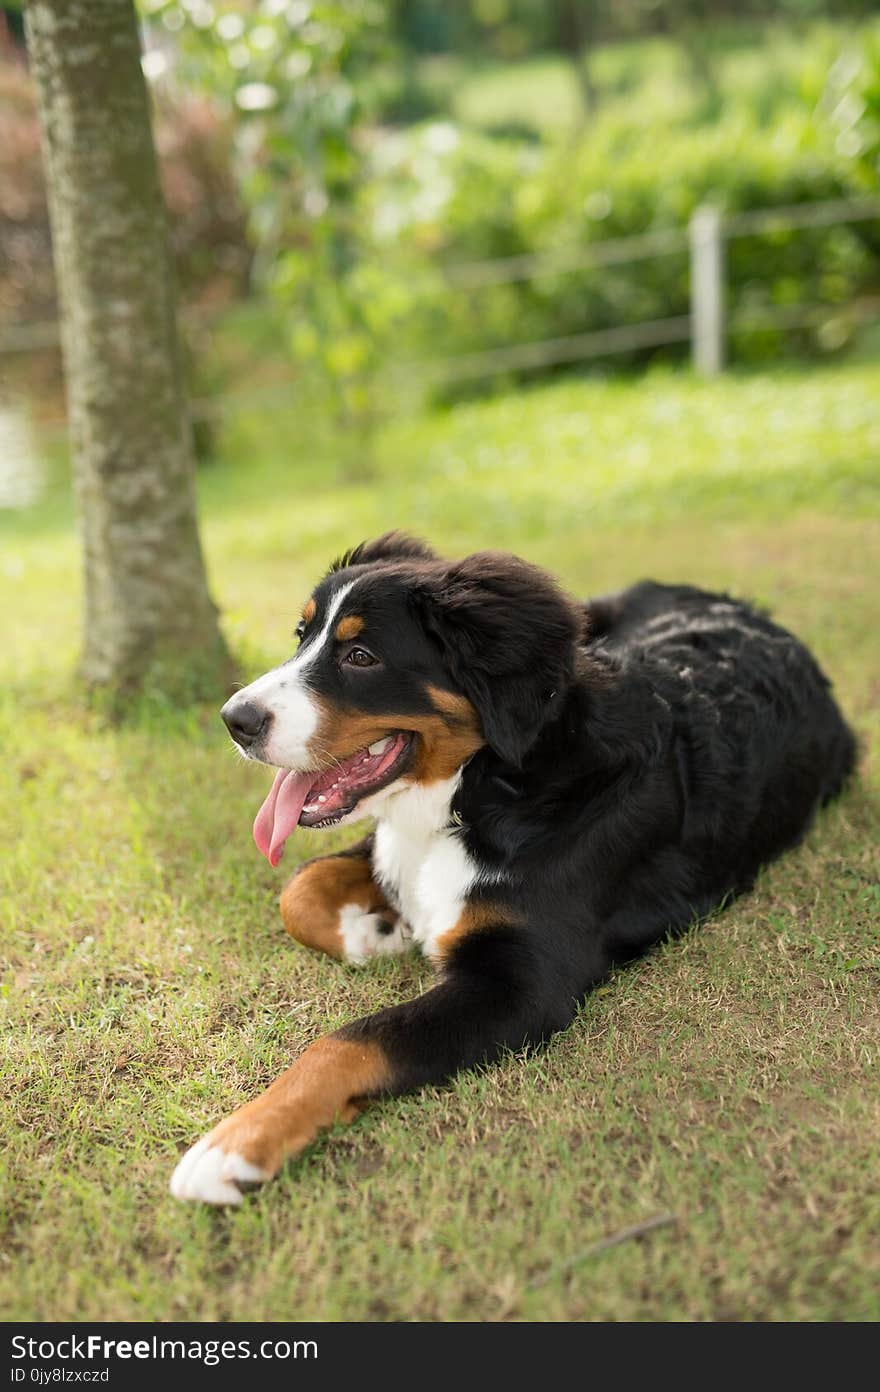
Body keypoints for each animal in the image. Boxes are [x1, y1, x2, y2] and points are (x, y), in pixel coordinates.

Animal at [168, 531, 857, 1208]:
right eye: (302, 635)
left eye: (360, 656)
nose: (235, 720)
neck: (486, 788)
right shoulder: (391, 847)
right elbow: (299, 890)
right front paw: (375, 934)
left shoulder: (519, 984)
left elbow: (349, 1041)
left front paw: (236, 1145)